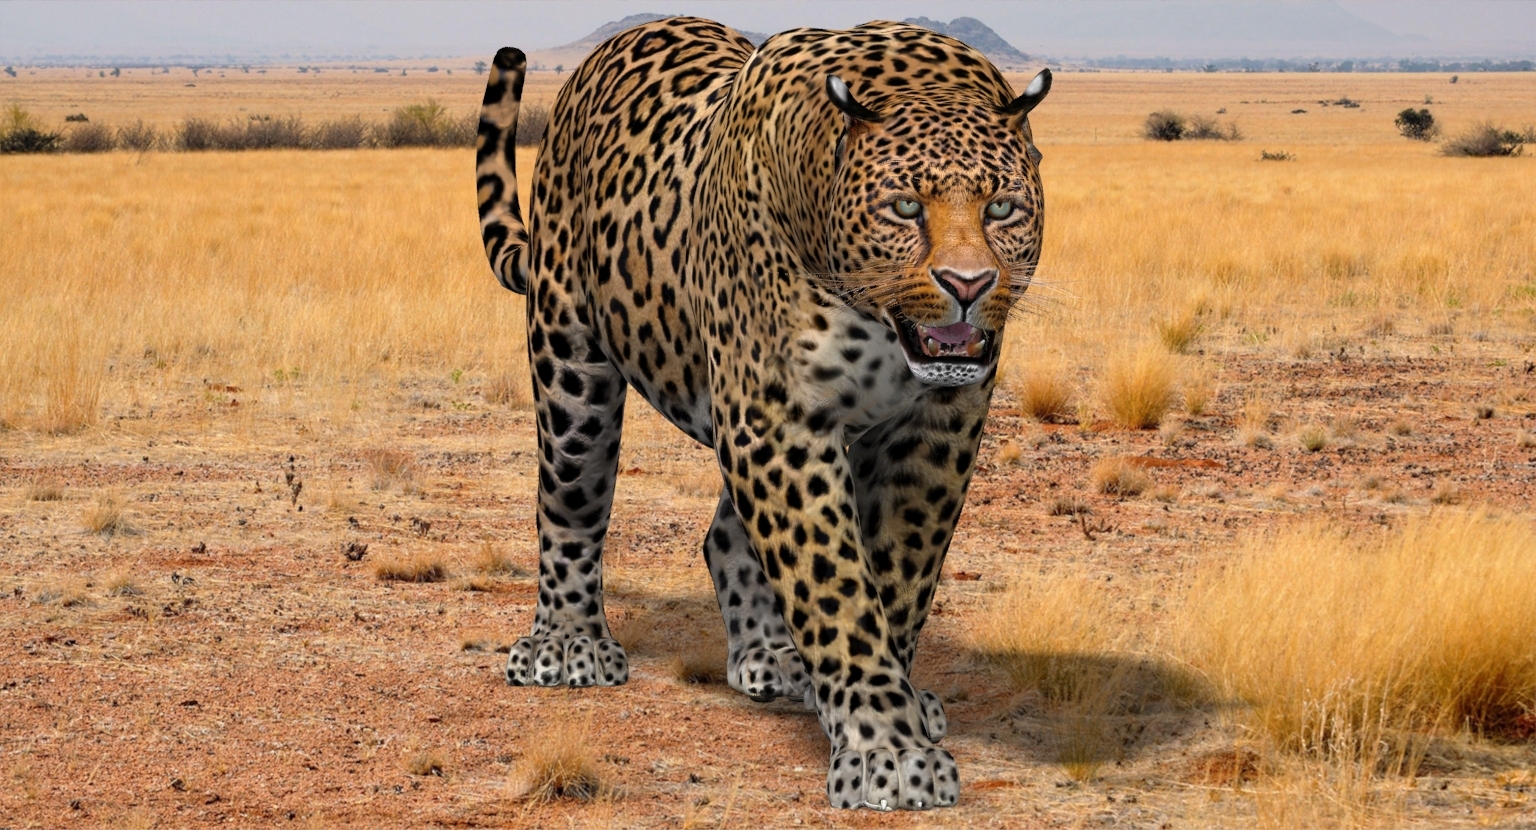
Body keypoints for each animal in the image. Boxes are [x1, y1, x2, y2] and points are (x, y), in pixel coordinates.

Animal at [475, 16, 1049, 811]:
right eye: (906, 206)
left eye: (1002, 208)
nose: (969, 286)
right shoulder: (778, 419)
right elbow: (834, 584)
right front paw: (887, 747)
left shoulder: (936, 427)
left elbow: (900, 573)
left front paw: (887, 703)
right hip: (571, 357)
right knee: (570, 499)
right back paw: (568, 644)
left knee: (723, 535)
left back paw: (775, 658)